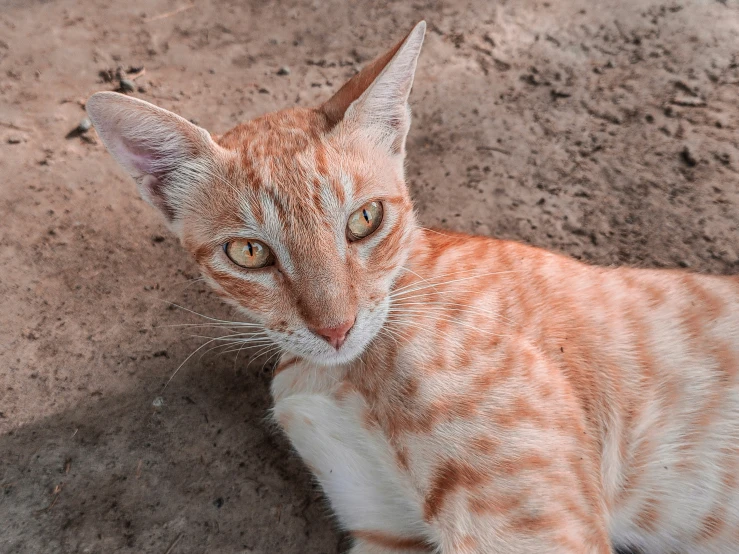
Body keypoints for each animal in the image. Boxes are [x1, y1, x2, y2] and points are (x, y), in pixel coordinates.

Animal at [82, 20, 739, 552]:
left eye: (364, 220)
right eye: (249, 253)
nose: (336, 327)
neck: (334, 373)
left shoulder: (530, 526)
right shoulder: (383, 530)